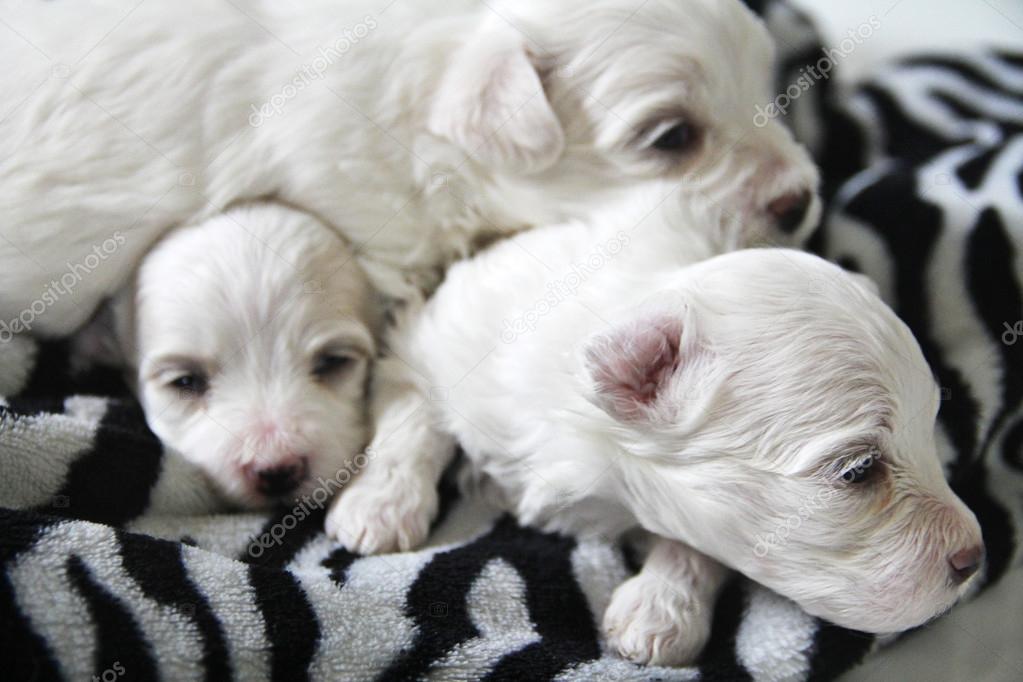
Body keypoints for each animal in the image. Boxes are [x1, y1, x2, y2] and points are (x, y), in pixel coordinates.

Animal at [331, 198, 986, 666]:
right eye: (858, 471)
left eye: (931, 430)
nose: (975, 558)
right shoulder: (432, 338)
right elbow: (413, 419)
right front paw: (379, 505)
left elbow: (697, 544)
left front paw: (660, 611)